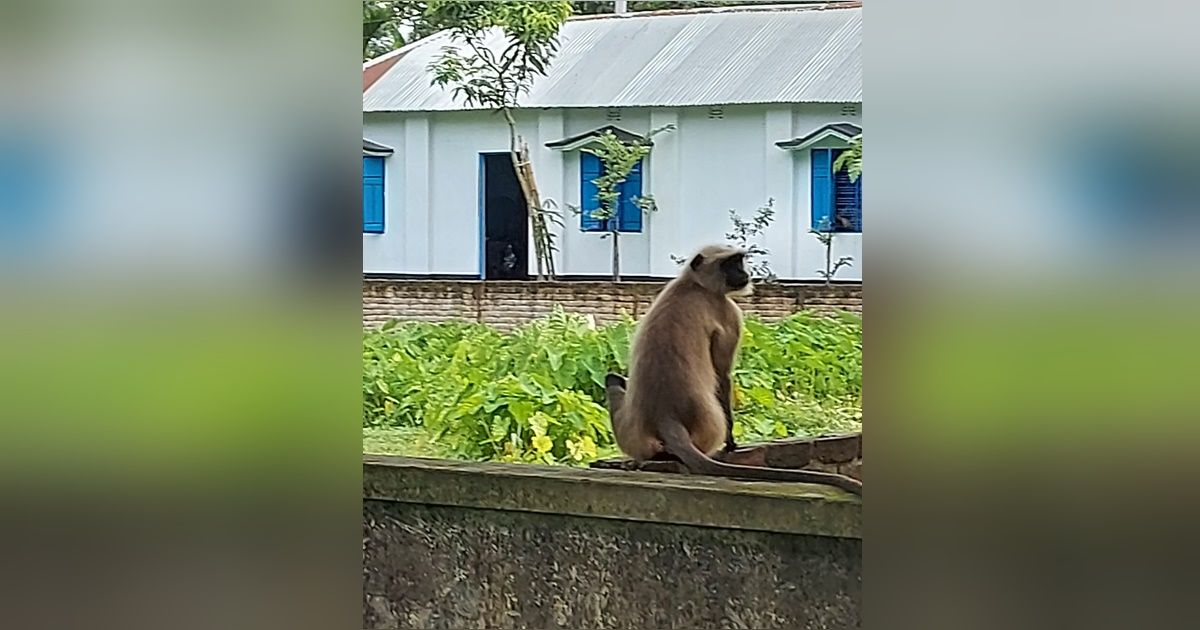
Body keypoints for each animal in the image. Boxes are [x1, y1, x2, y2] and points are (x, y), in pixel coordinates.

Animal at [609, 243, 864, 494]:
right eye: (730, 263)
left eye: (739, 261)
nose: (743, 273)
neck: (693, 284)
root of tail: (665, 416)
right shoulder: (728, 312)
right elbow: (724, 373)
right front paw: (731, 441)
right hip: (709, 426)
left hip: (632, 433)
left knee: (613, 379)